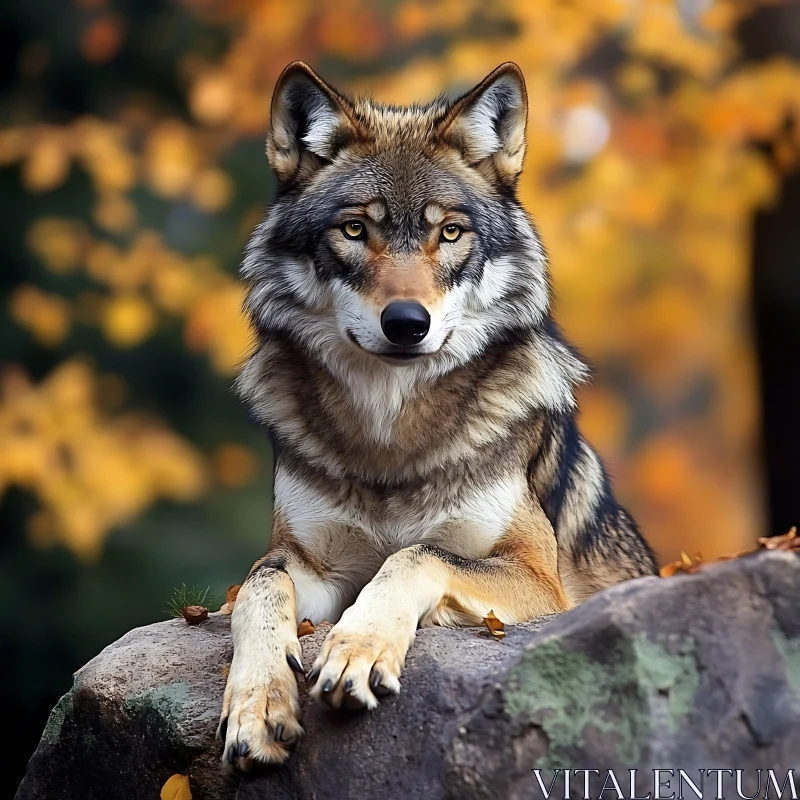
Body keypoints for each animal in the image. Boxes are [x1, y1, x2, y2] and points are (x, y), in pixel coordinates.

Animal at [217, 56, 656, 768]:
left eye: (448, 231)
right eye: (355, 228)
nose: (406, 323)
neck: (391, 440)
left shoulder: (541, 583)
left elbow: (416, 555)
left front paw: (359, 651)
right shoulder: (308, 565)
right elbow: (256, 591)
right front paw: (257, 704)